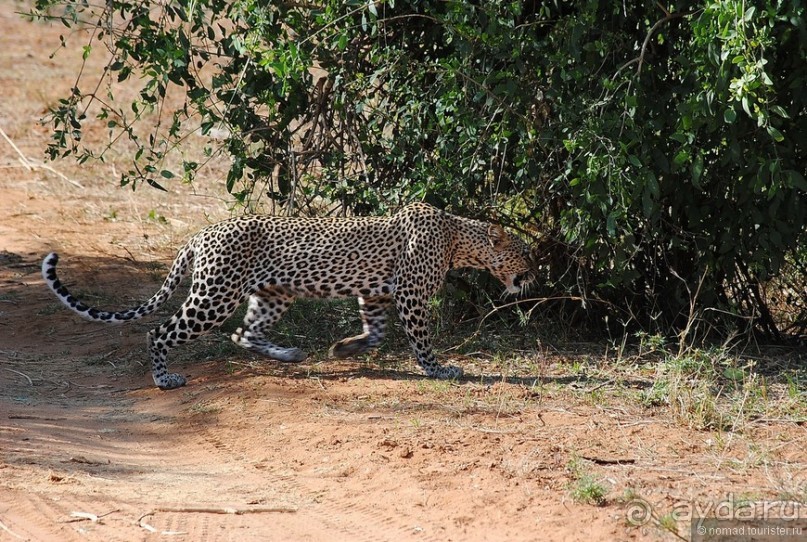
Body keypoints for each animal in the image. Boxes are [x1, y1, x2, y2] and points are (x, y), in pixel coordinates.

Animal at [42, 201, 536, 392]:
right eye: (524, 253)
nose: (534, 275)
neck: (458, 239)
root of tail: (201, 233)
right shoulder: (411, 294)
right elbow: (421, 341)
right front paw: (439, 370)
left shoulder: (375, 295)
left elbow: (375, 332)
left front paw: (344, 348)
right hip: (214, 294)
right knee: (160, 331)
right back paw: (165, 378)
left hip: (272, 293)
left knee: (243, 333)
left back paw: (291, 354)